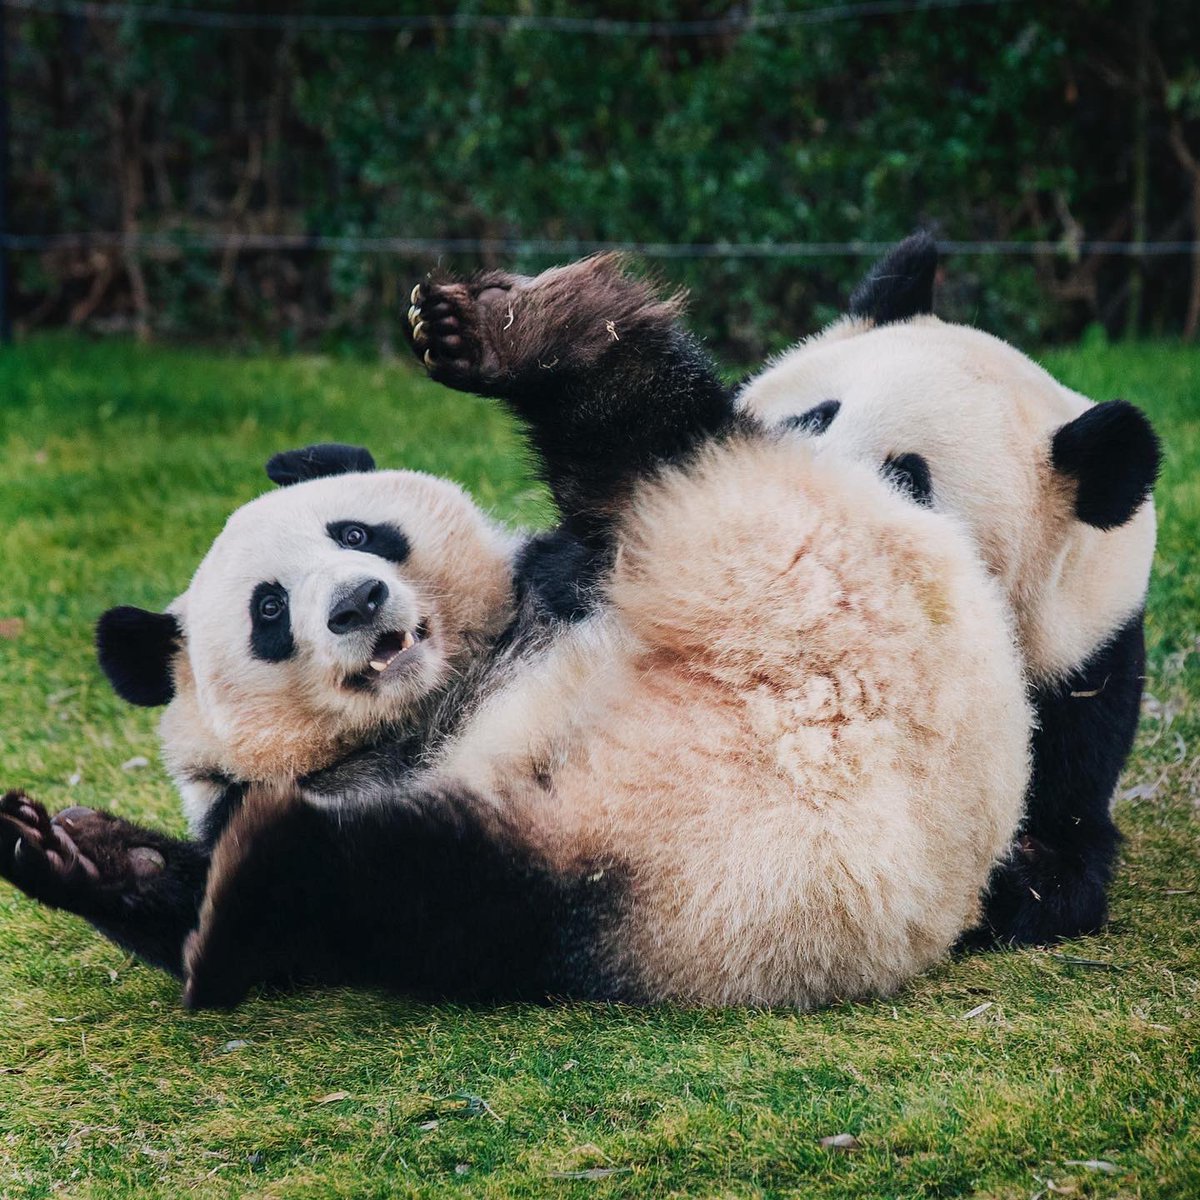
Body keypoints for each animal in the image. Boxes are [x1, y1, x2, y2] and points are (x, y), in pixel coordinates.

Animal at [0, 253, 1031, 1010]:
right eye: (269, 611)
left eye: (358, 533)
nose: (357, 604)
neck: (444, 694)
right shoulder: (317, 774)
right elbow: (247, 901)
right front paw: (78, 855)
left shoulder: (553, 585)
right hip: (667, 884)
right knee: (420, 891)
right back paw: (243, 878)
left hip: (749, 519)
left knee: (642, 429)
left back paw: (502, 335)